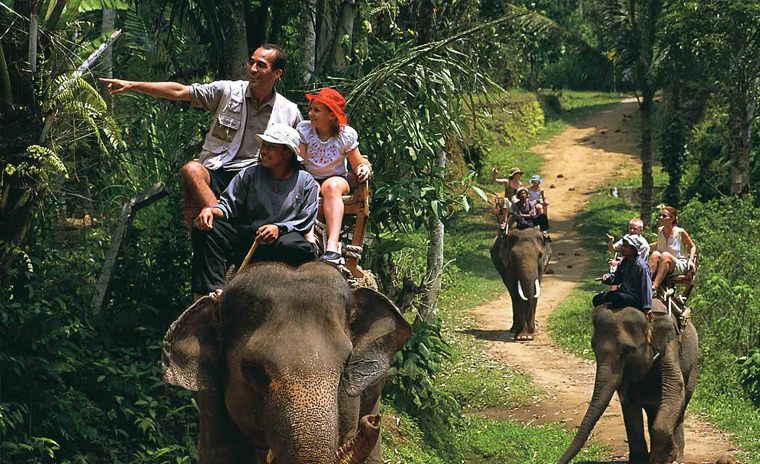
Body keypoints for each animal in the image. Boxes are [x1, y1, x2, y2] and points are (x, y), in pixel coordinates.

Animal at [558, 300, 698, 464]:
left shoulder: (671, 343)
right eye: (594, 348)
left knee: (680, 404)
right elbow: (629, 399)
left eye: (628, 350)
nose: (558, 461)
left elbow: (674, 386)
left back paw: (678, 457)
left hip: (693, 366)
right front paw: (642, 460)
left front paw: (666, 457)